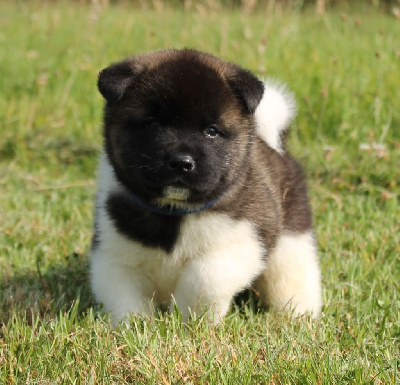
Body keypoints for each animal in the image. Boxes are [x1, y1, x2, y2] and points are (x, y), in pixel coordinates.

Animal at [90, 48, 322, 324]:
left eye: (211, 131)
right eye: (152, 124)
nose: (181, 162)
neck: (174, 213)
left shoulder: (246, 238)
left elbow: (204, 275)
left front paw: (190, 317)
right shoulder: (114, 255)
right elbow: (125, 299)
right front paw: (136, 326)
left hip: (291, 236)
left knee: (293, 272)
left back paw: (299, 313)